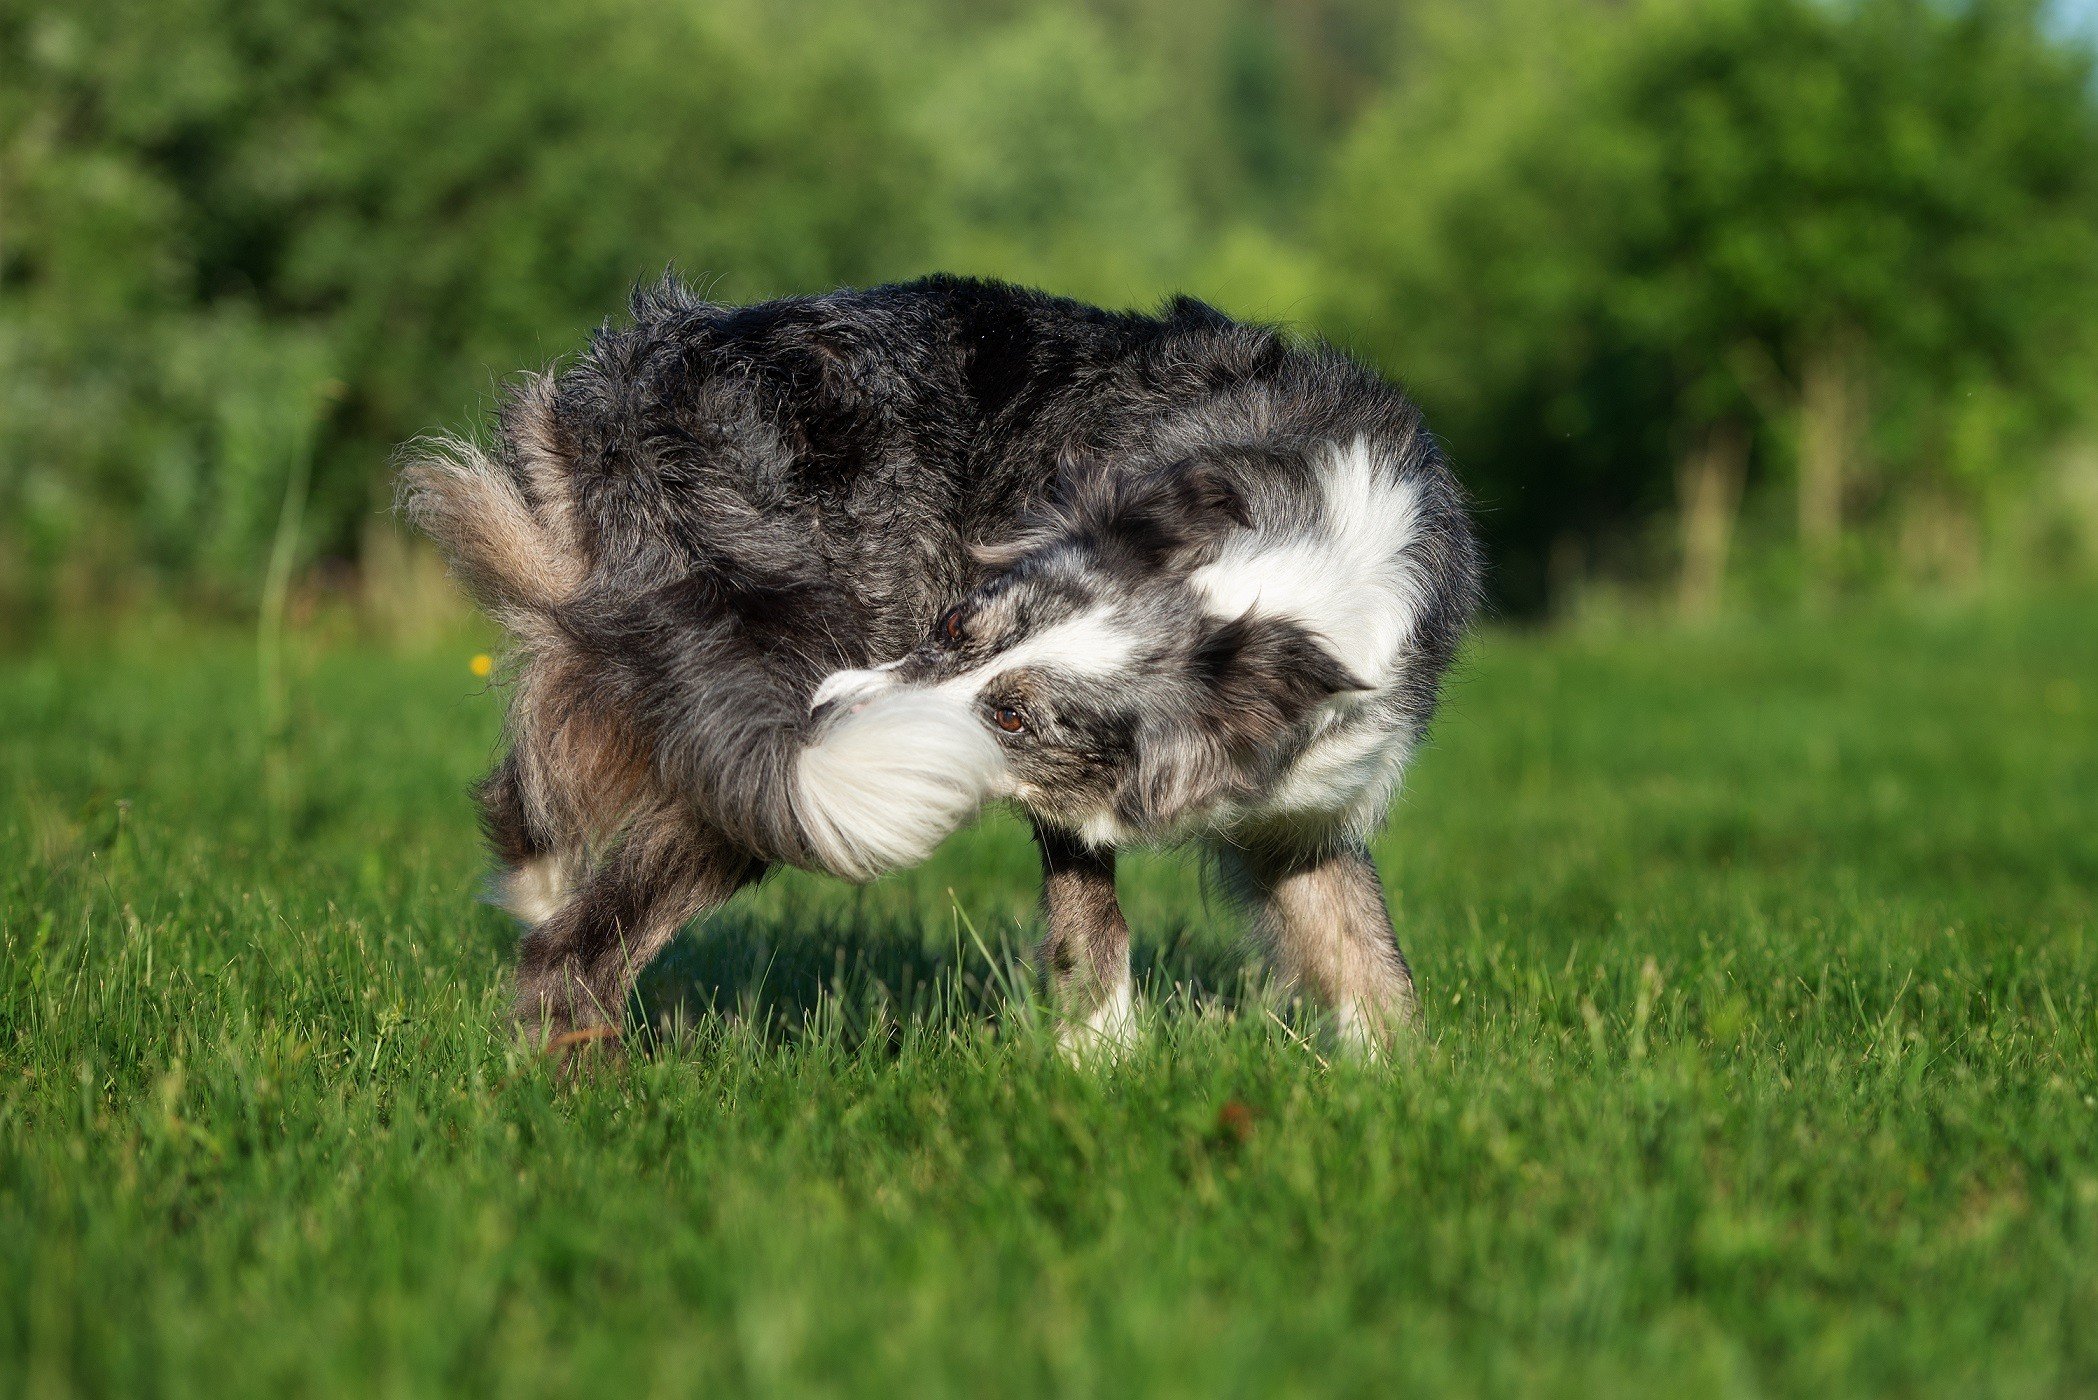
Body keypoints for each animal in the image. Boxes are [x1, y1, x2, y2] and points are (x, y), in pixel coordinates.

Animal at [400, 272, 1485, 1049]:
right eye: (958, 625)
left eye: (1012, 713)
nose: (828, 712)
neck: (1281, 585)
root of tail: (643, 376)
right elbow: (1092, 932)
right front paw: (1102, 1071)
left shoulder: (1307, 817)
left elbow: (1372, 965)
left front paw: (1408, 1101)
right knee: (577, 953)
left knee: (536, 793)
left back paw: (536, 880)